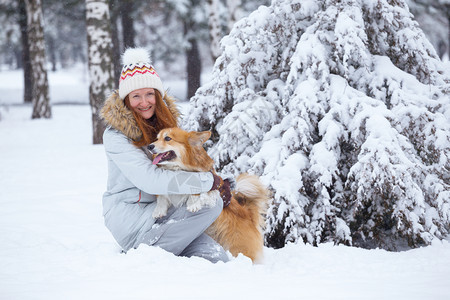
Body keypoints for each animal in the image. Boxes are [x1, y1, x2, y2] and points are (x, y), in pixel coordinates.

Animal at [148, 127, 268, 262]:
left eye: (168, 138)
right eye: (157, 138)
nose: (149, 146)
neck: (178, 169)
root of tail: (249, 215)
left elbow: (197, 189)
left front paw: (193, 204)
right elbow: (162, 197)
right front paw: (159, 211)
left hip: (237, 246)